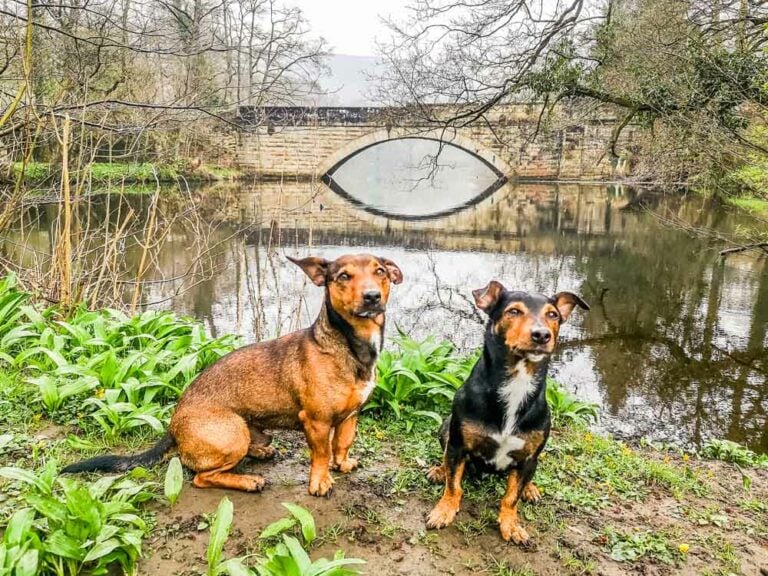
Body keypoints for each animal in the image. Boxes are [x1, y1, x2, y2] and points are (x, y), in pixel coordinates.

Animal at [63, 254, 404, 498]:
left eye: (380, 272)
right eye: (343, 276)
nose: (372, 297)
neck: (350, 346)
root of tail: (173, 428)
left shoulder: (351, 415)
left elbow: (342, 444)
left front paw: (343, 464)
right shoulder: (316, 421)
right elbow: (321, 453)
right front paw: (321, 482)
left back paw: (261, 451)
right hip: (233, 433)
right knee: (202, 477)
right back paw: (248, 481)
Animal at [426, 284, 588, 544]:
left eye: (552, 315)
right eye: (513, 311)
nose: (542, 335)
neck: (516, 384)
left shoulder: (529, 458)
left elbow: (511, 497)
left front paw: (511, 525)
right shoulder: (458, 445)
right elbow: (454, 484)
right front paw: (444, 510)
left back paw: (530, 489)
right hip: (446, 428)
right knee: (446, 459)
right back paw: (439, 470)